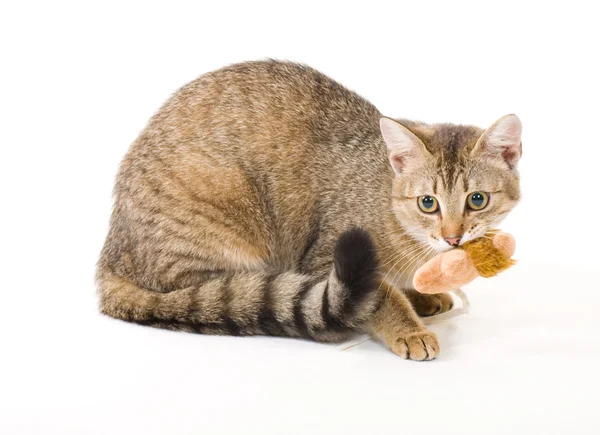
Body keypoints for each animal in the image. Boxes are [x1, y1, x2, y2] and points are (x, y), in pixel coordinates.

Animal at [97, 61, 520, 362]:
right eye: (428, 203)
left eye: (477, 200)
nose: (453, 237)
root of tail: (110, 251)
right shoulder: (329, 257)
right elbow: (379, 296)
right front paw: (408, 326)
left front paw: (420, 295)